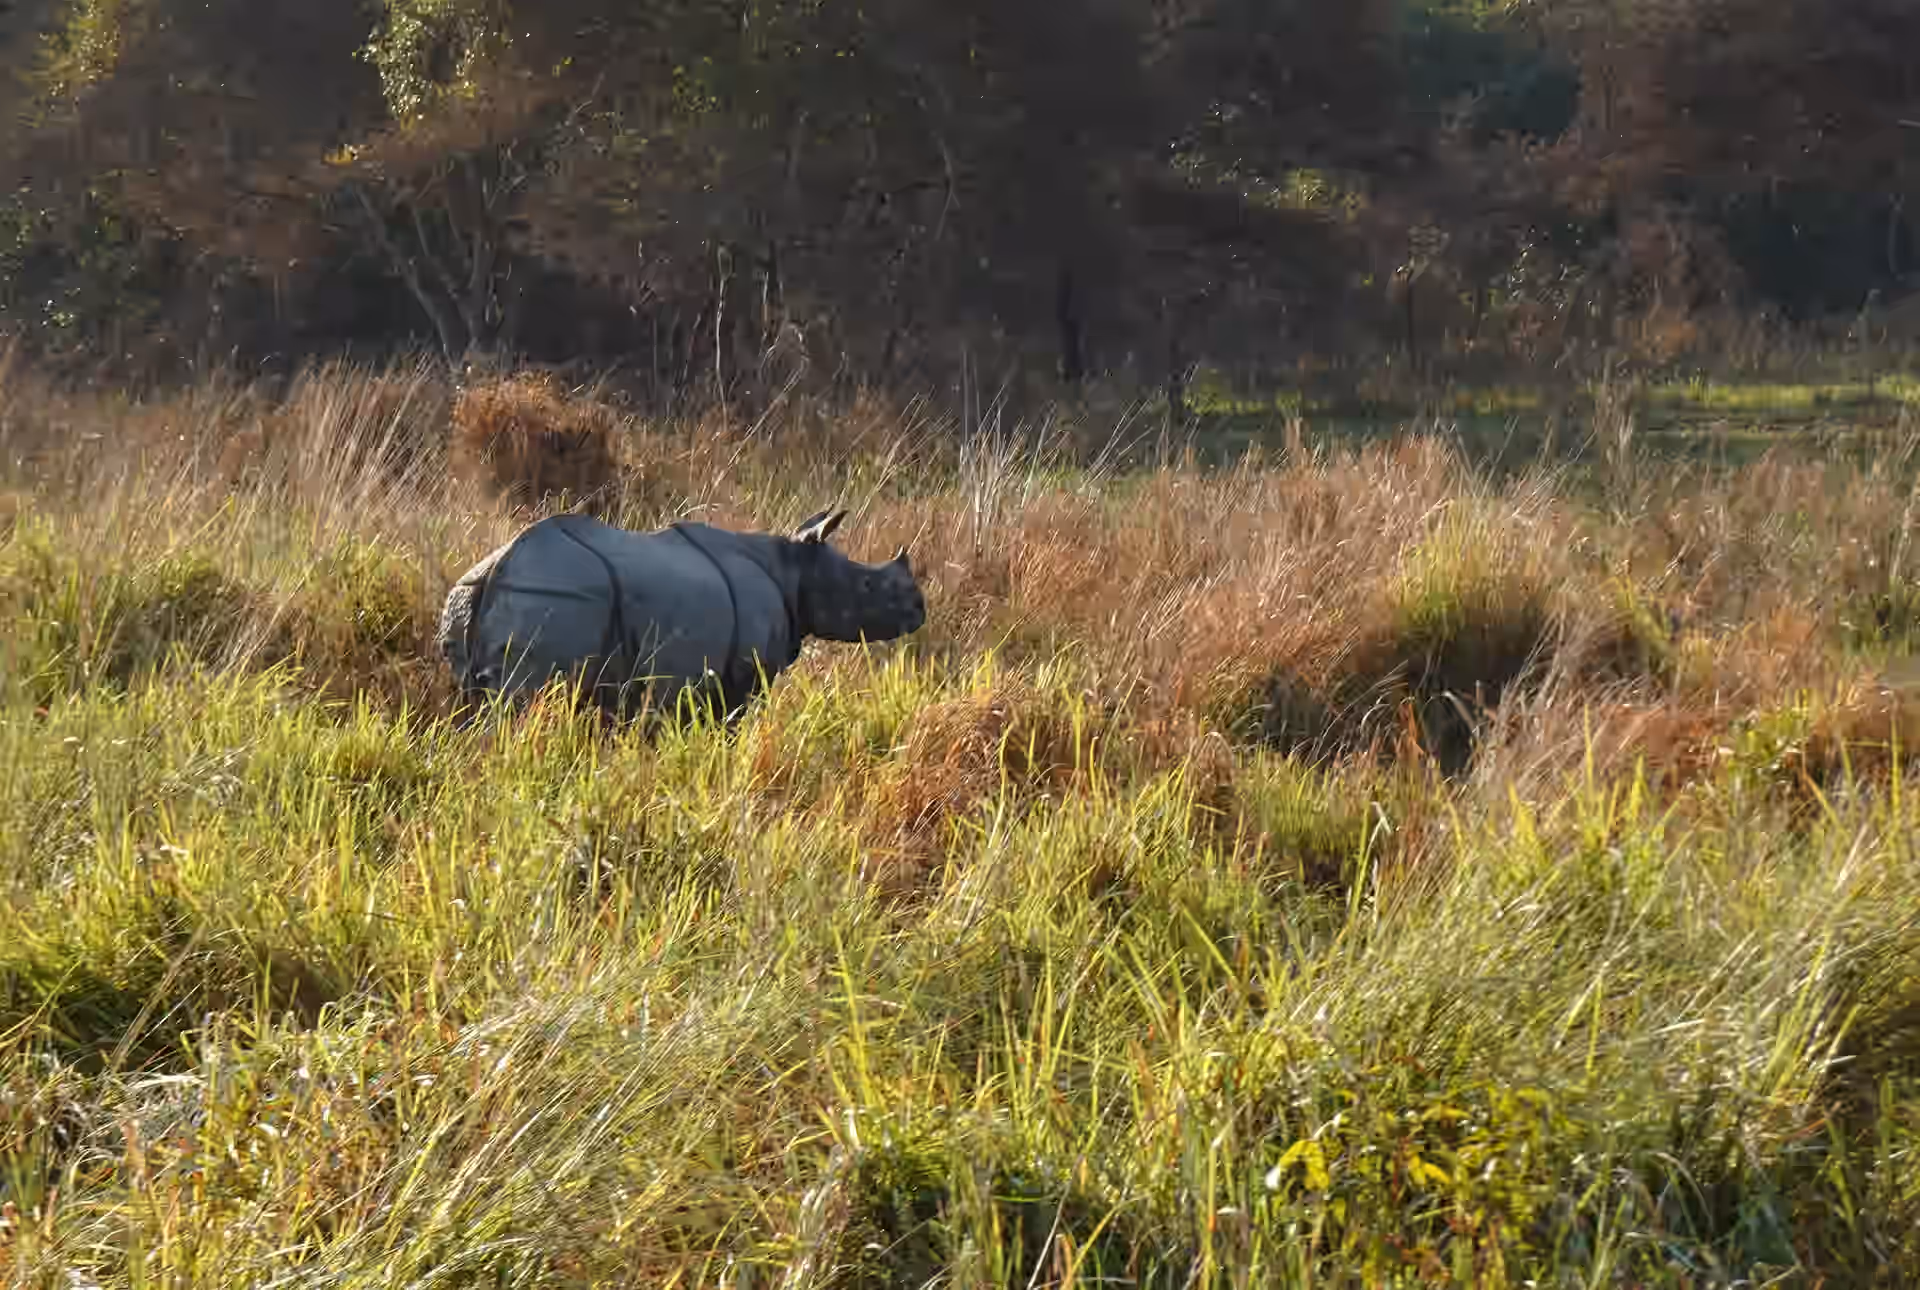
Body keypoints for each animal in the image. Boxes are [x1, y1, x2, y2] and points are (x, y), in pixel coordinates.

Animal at [437, 506, 926, 723]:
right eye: (868, 587)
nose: (920, 610)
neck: (795, 568)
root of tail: (500, 569)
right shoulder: (740, 675)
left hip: (471, 596)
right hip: (553, 597)